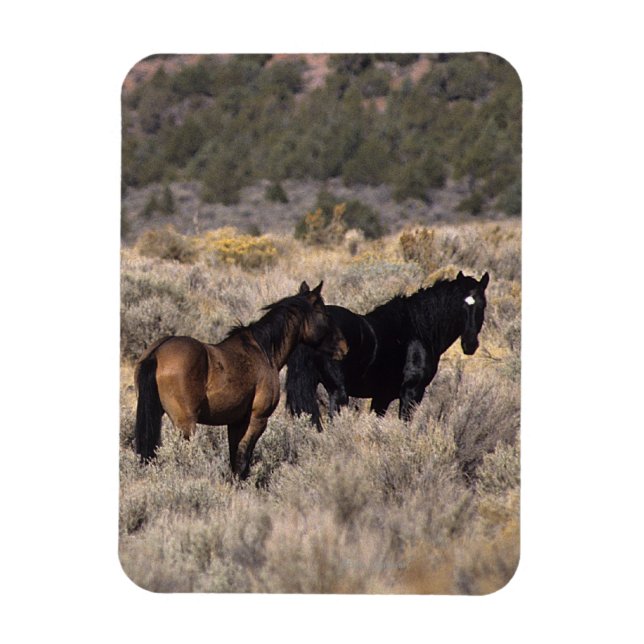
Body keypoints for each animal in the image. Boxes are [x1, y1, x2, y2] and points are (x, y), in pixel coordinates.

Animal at [134, 281, 347, 479]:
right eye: (325, 314)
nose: (344, 347)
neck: (262, 350)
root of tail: (157, 352)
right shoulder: (256, 419)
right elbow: (243, 458)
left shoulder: (235, 422)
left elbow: (234, 457)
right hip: (185, 424)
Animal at [285, 271, 489, 428]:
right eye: (460, 305)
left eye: (482, 305)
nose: (470, 344)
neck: (418, 329)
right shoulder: (411, 393)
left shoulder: (381, 397)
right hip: (338, 393)